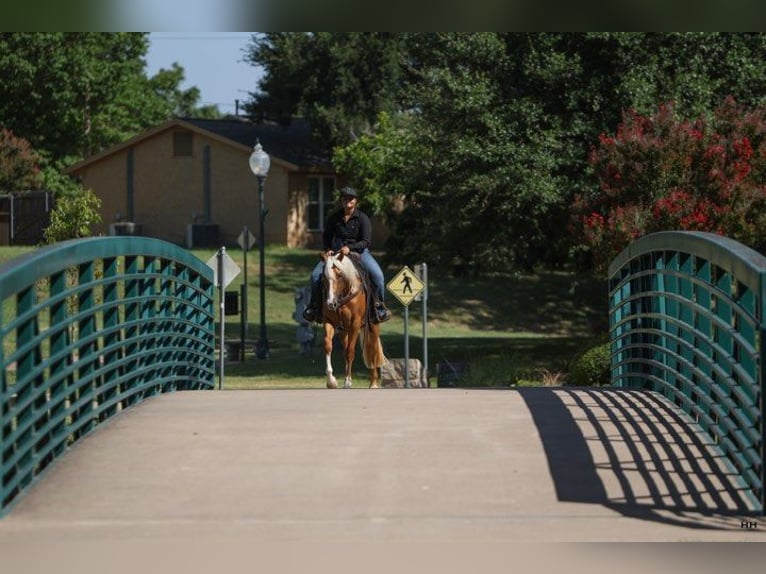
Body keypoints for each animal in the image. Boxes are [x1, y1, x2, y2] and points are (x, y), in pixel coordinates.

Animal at [321, 251, 386, 389]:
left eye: (339, 275)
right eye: (324, 278)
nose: (330, 303)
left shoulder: (355, 325)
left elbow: (350, 352)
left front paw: (347, 381)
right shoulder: (328, 321)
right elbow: (328, 346)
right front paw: (331, 381)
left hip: (372, 326)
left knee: (372, 350)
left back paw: (373, 382)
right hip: (344, 331)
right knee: (345, 350)